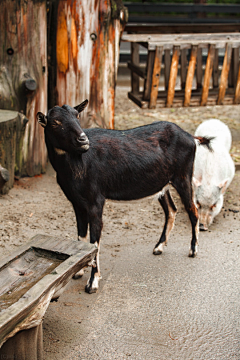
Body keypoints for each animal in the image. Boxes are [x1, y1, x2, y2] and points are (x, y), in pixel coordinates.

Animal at [36, 100, 211, 294]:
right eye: (55, 122)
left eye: (77, 115)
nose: (83, 140)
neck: (78, 163)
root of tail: (191, 137)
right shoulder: (76, 202)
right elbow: (82, 236)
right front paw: (79, 271)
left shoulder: (96, 200)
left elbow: (94, 242)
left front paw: (92, 283)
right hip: (162, 184)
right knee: (171, 209)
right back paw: (159, 247)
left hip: (183, 177)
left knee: (193, 209)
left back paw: (193, 250)